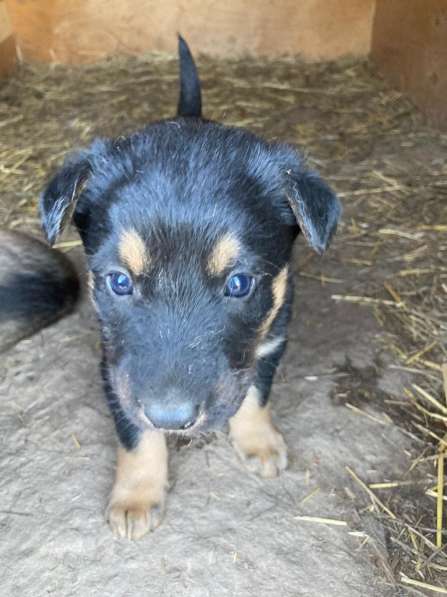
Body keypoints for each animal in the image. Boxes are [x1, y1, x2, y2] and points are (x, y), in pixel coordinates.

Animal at [38, 38, 342, 540]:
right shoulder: (115, 364)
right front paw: (136, 496)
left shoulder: (270, 336)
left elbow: (256, 393)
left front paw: (259, 442)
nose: (172, 419)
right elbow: (134, 431)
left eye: (239, 283)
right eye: (119, 281)